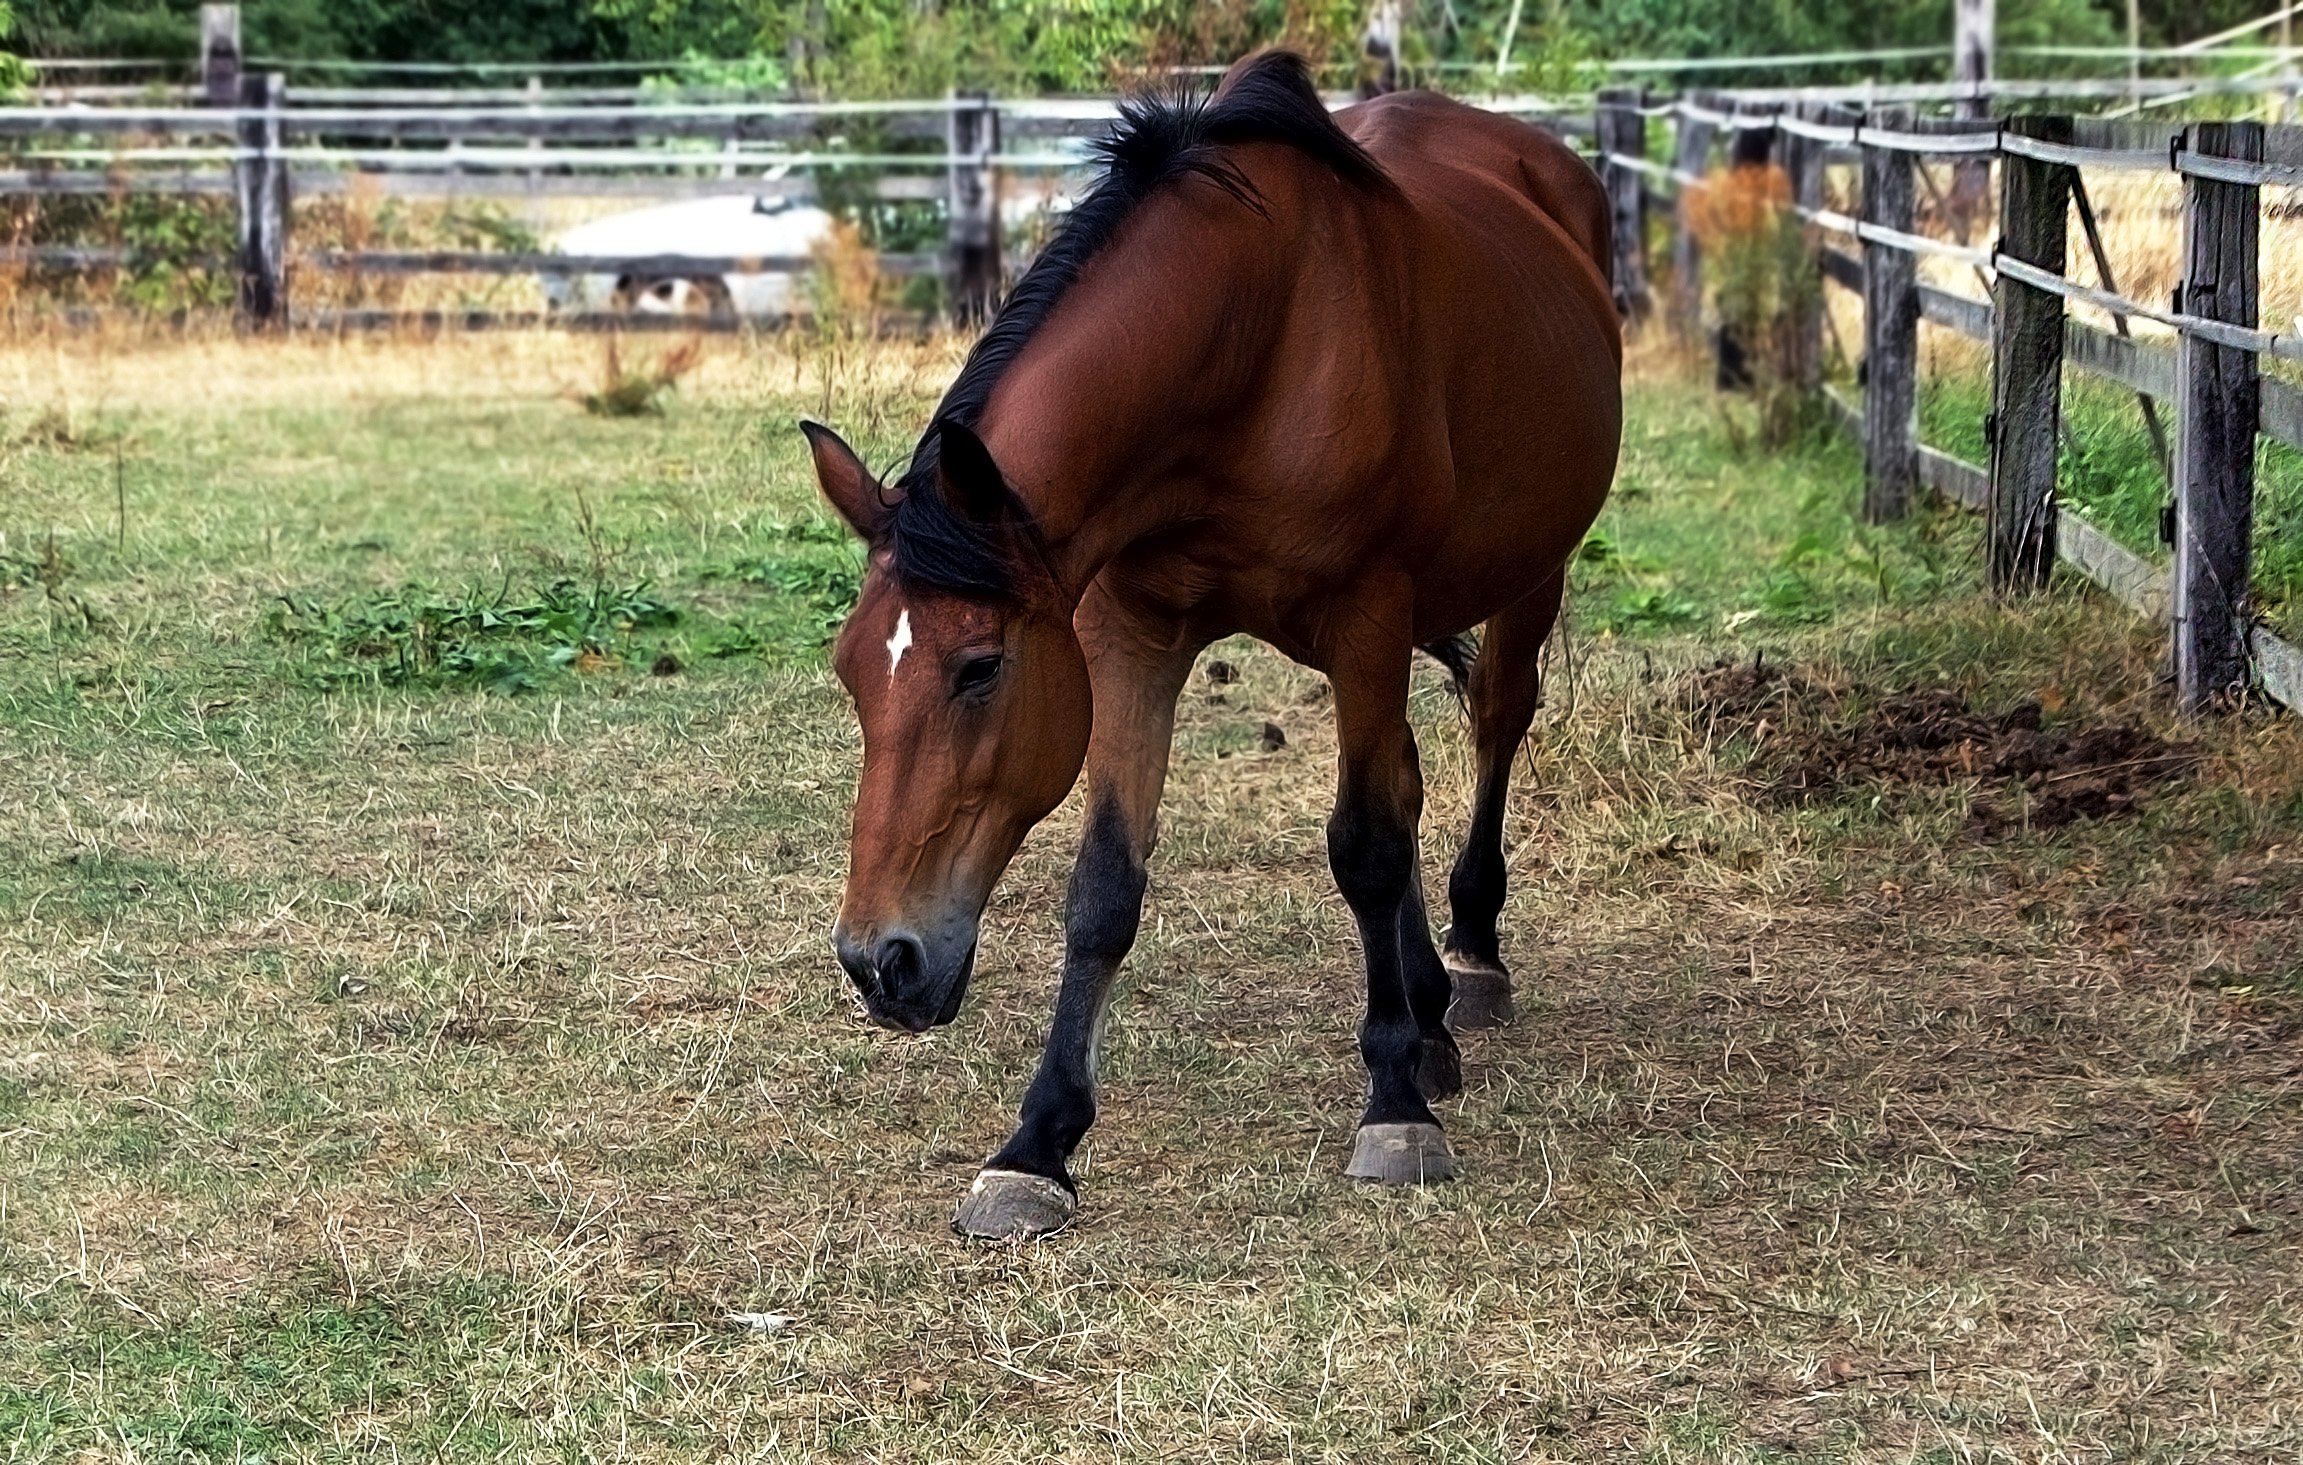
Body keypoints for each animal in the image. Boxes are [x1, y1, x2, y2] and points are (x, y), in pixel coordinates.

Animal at [806, 51, 1621, 1234]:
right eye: (850, 673)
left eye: (979, 667)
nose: (880, 963)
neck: (1255, 340)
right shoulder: (1129, 633)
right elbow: (1105, 886)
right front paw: (1035, 1144)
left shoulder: (1366, 616)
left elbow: (1364, 848)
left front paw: (1392, 1107)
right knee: (1409, 773)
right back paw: (1426, 1012)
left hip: (1525, 576)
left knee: (1491, 726)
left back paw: (1466, 967)